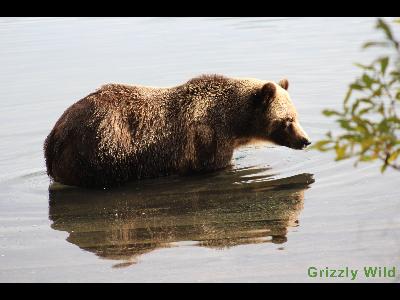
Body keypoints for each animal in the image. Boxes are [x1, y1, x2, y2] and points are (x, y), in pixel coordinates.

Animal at [44, 75, 312, 188]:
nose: (305, 140)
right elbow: (214, 165)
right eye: (287, 120)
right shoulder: (208, 140)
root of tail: (56, 132)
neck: (234, 124)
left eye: (296, 116)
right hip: (101, 149)